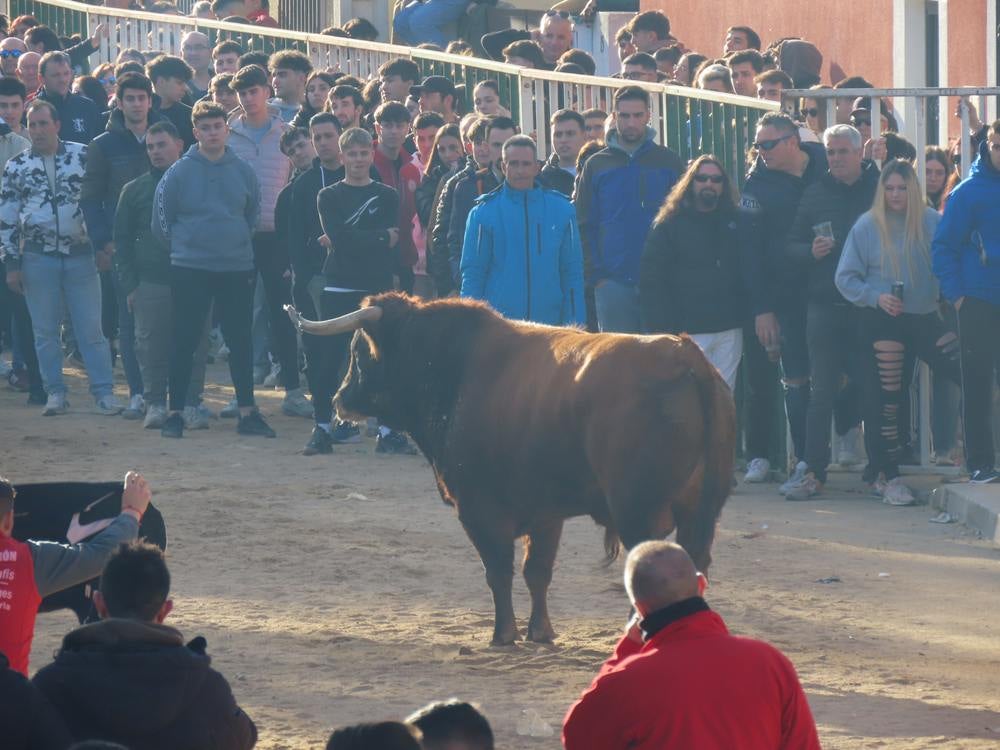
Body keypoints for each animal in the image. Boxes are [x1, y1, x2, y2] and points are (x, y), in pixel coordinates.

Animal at [286, 294, 740, 648]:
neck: (454, 371)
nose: (340, 399)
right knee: (695, 560)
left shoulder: (478, 507)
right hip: (701, 511)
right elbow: (536, 571)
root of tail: (687, 357)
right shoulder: (547, 512)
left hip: (638, 510)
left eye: (358, 353)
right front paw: (540, 631)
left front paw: (503, 634)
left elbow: (498, 570)